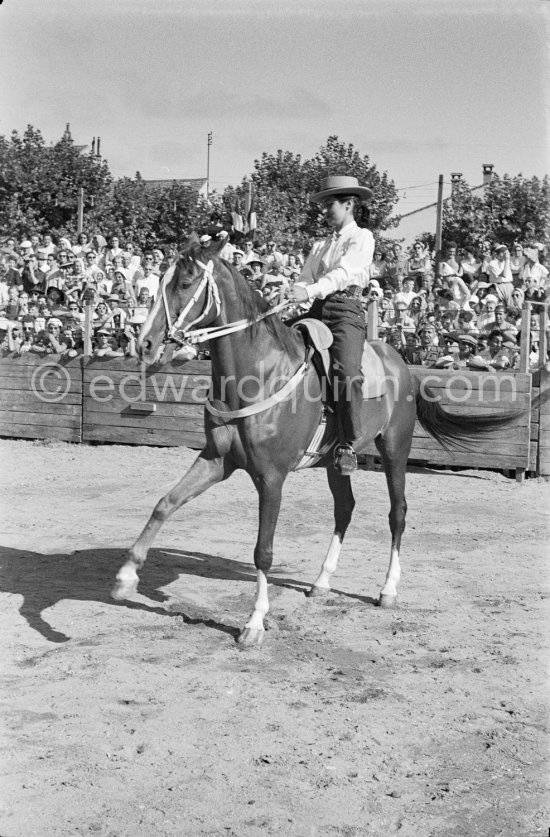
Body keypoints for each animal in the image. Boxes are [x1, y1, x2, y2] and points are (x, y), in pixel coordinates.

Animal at [112, 235, 516, 648]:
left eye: (185, 281)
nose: (145, 344)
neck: (259, 374)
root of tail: (401, 364)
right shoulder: (216, 460)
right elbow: (165, 504)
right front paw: (126, 577)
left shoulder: (271, 478)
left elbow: (263, 551)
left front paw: (254, 623)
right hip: (336, 462)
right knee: (345, 508)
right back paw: (322, 581)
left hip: (395, 450)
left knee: (398, 512)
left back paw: (388, 589)